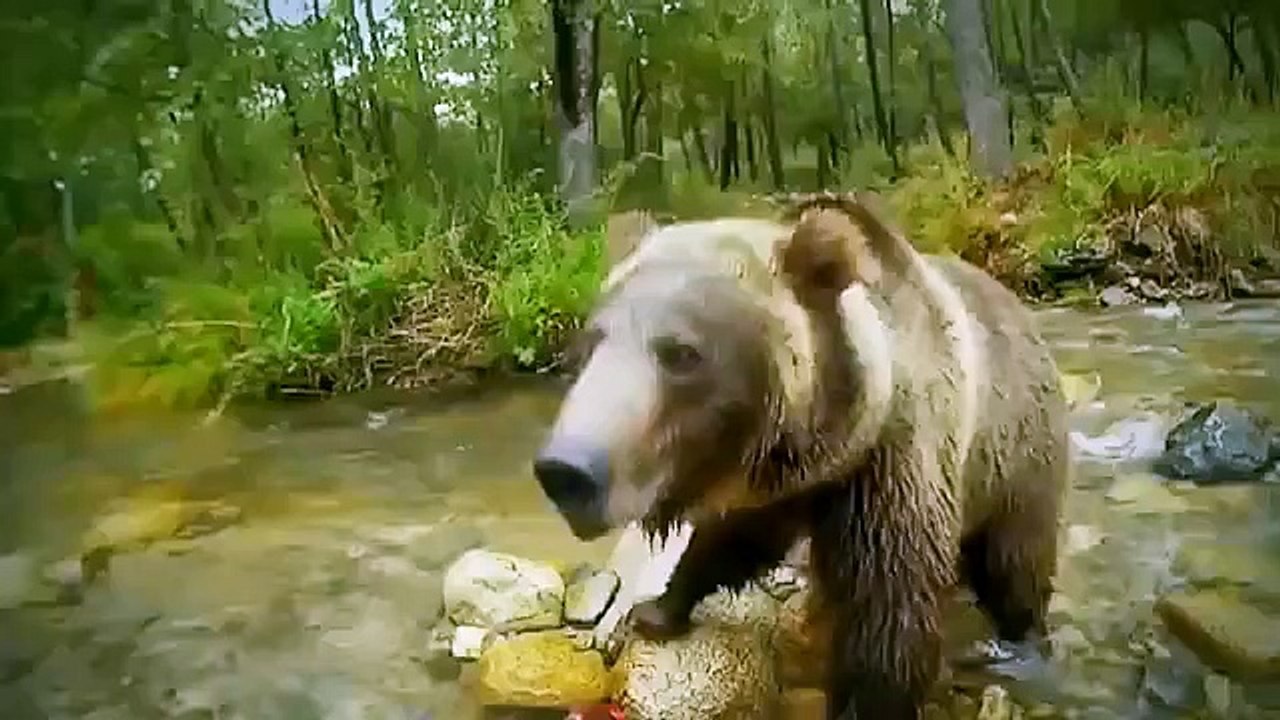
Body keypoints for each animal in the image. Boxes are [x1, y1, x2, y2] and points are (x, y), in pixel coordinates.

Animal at [532, 192, 1070, 720]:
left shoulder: (892, 467)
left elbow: (890, 616)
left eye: (681, 353)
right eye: (590, 343)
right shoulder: (781, 486)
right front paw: (656, 607)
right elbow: (731, 542)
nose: (565, 471)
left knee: (1014, 560)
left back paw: (1023, 641)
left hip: (1018, 456)